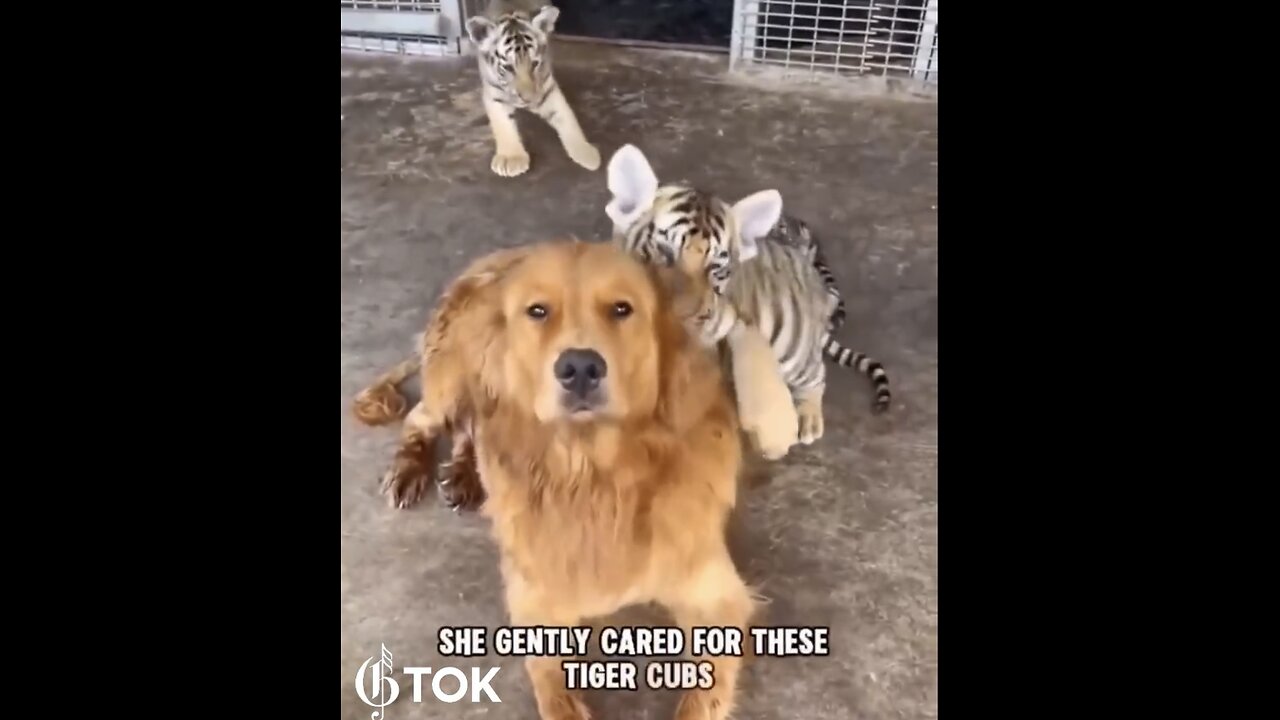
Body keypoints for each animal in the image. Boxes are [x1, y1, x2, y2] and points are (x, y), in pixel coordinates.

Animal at [355, 239, 757, 717]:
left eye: (622, 309)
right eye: (538, 311)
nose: (580, 368)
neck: (593, 476)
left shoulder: (716, 594)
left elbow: (703, 698)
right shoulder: (534, 599)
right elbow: (551, 686)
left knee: (470, 427)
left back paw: (466, 474)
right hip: (450, 380)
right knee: (425, 417)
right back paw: (411, 469)